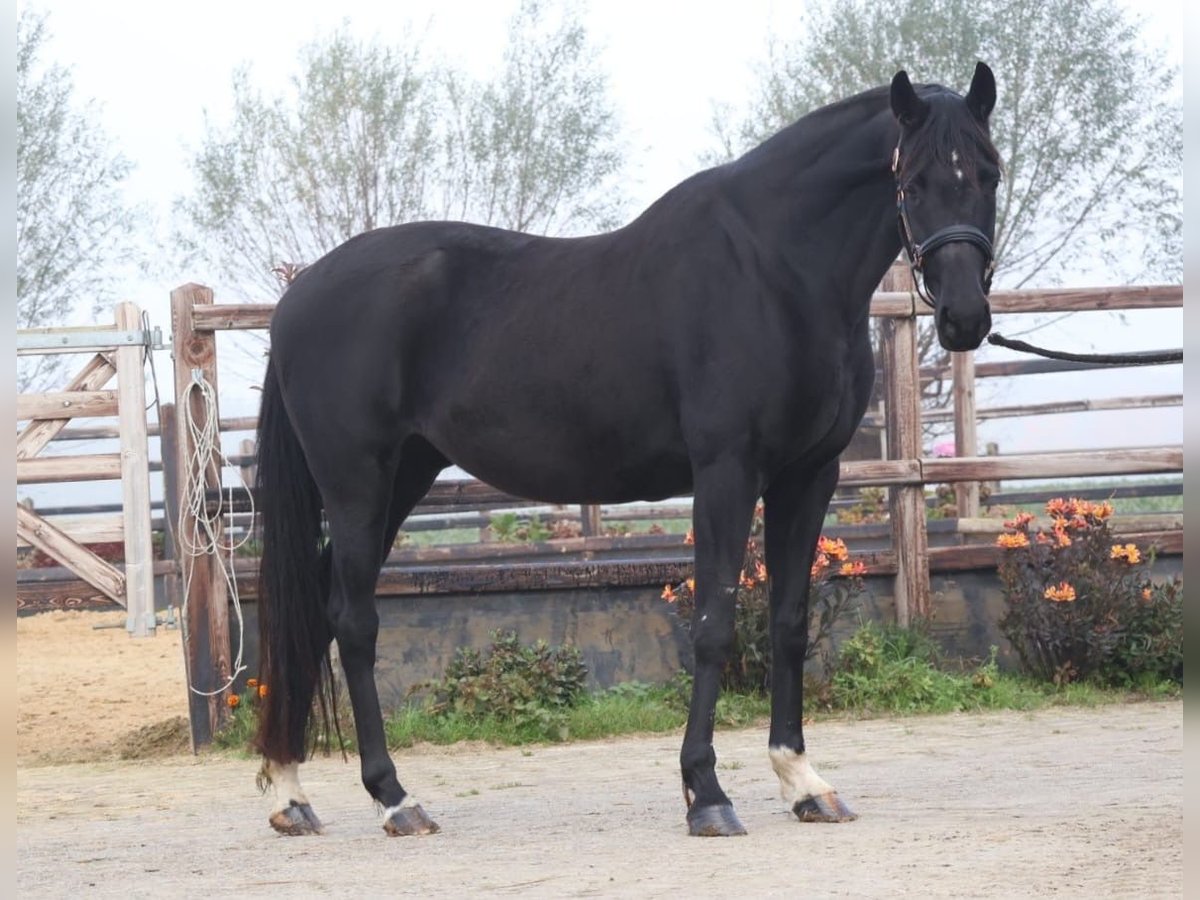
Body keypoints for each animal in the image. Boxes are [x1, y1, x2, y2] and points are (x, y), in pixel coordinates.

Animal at [255, 61, 1003, 840]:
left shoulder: (809, 475)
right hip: (357, 483)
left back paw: (292, 792)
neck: (773, 270)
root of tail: (297, 298)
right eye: (912, 182)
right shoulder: (728, 471)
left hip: (403, 475)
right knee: (353, 620)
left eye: (990, 173)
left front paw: (804, 782)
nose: (963, 317)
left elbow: (790, 622)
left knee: (315, 610)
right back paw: (394, 798)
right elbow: (713, 622)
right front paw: (706, 793)